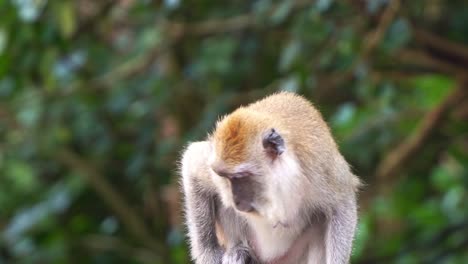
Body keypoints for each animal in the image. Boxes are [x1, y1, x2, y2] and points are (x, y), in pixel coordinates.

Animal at [181, 92, 360, 262]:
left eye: (240, 177)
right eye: (225, 177)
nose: (236, 201)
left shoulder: (319, 167)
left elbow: (342, 203)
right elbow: (192, 164)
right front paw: (209, 255)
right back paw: (237, 251)